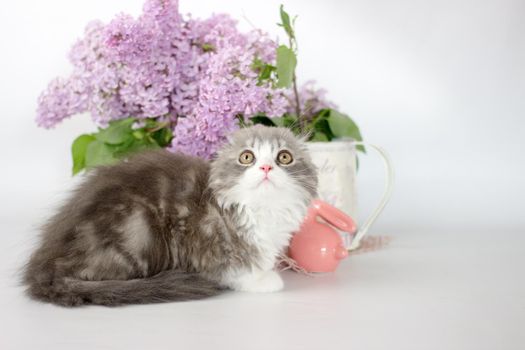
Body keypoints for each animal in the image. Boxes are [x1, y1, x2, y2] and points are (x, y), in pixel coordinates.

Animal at [22, 126, 318, 306]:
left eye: (284, 157)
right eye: (247, 157)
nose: (266, 167)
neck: (262, 210)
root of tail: (46, 267)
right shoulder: (205, 241)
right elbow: (232, 269)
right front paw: (262, 280)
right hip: (136, 232)